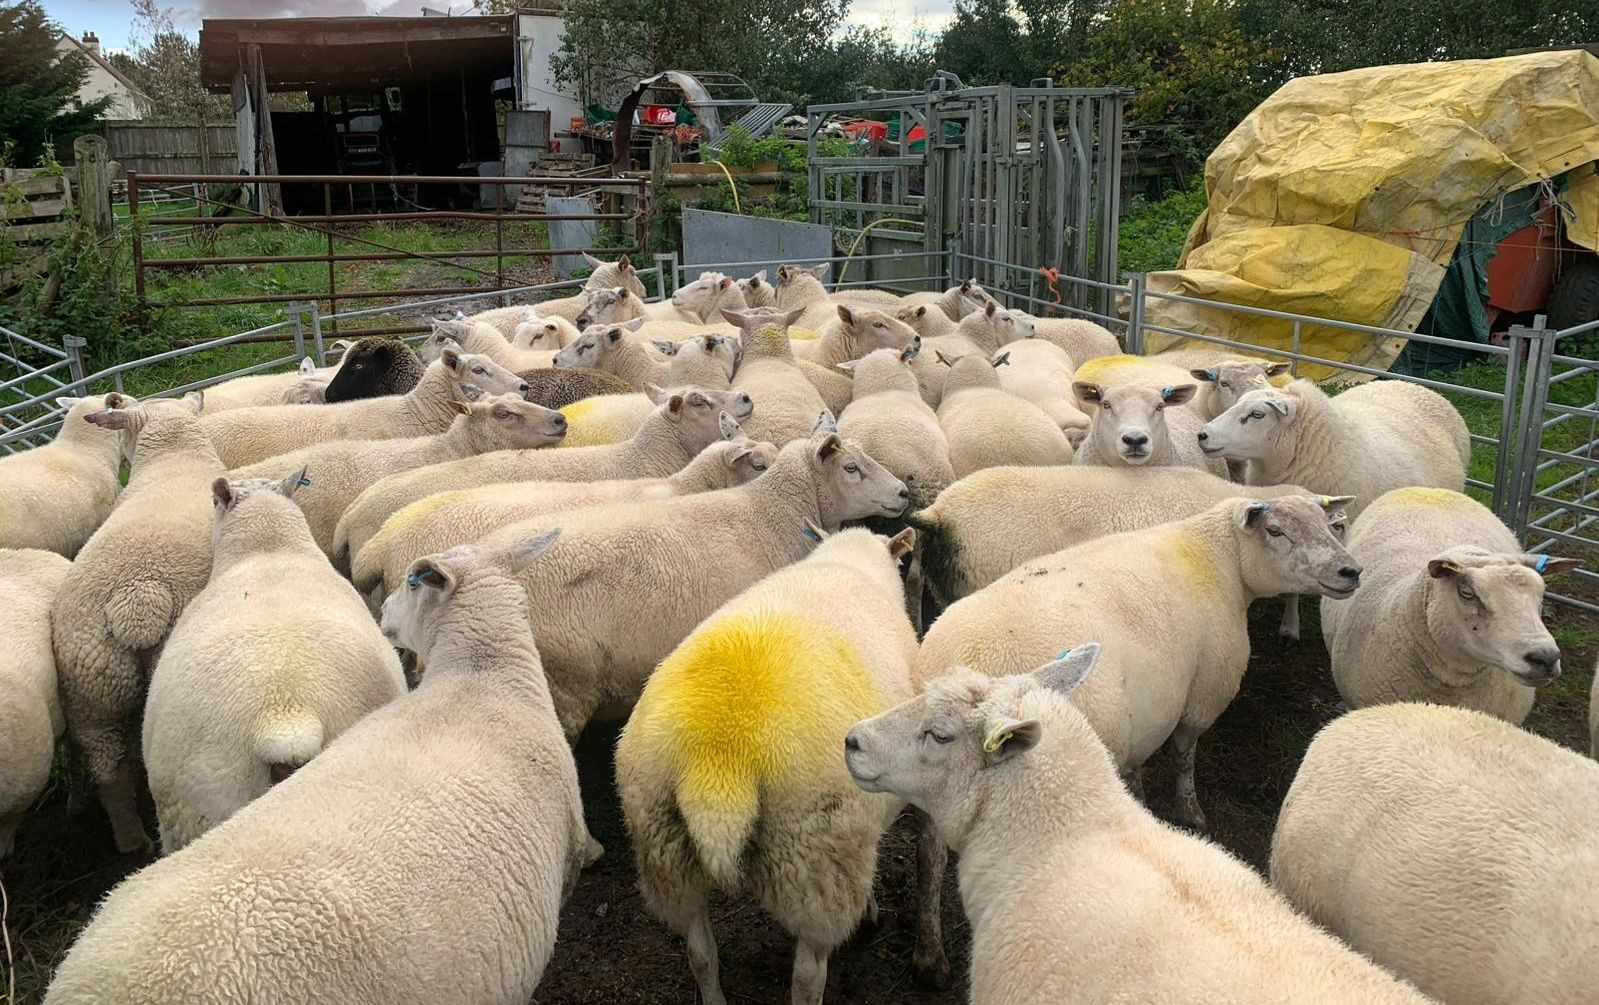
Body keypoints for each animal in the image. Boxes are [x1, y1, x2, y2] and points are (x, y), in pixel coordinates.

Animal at [617, 525, 918, 1004]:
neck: (846, 561)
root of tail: (717, 758)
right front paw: (872, 910)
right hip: (815, 864)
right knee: (808, 976)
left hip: (662, 849)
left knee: (700, 952)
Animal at [917, 494, 1361, 829]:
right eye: (1275, 531)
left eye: (1329, 526)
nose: (1351, 571)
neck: (1220, 558)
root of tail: (969, 656)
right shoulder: (1205, 691)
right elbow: (1184, 756)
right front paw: (1190, 811)